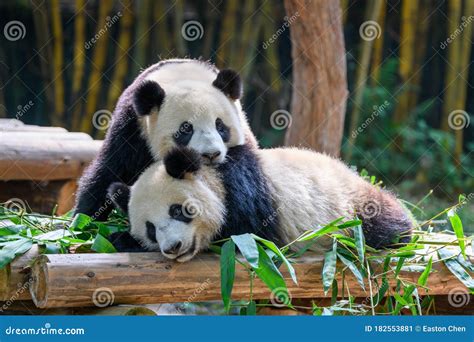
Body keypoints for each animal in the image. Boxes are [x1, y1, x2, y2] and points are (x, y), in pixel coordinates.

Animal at [75, 58, 258, 219]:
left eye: (220, 126)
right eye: (186, 129)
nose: (211, 155)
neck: (183, 76)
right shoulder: (131, 131)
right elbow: (107, 175)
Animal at [107, 145, 412, 262]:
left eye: (178, 210)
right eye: (150, 229)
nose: (172, 247)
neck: (214, 178)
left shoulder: (247, 196)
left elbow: (241, 234)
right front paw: (119, 237)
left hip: (351, 207)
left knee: (383, 224)